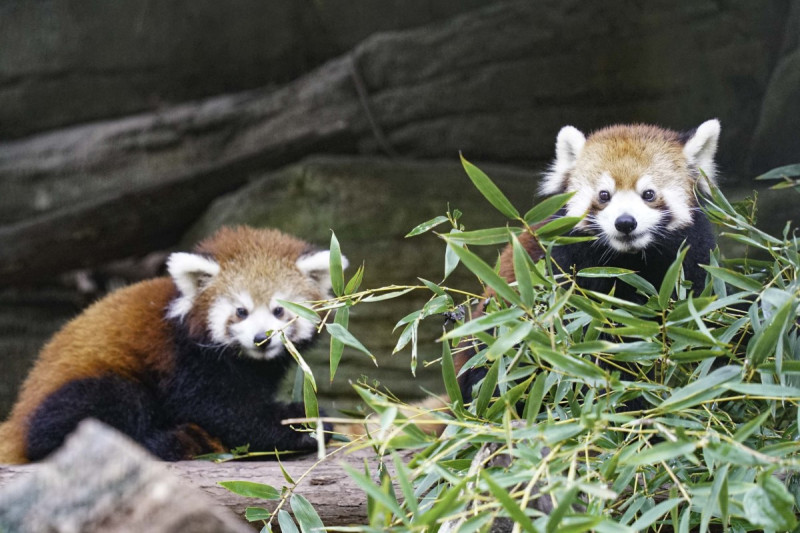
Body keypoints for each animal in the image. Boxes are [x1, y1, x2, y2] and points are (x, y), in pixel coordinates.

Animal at [0, 224, 342, 462]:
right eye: (241, 311)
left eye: (279, 310)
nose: (261, 339)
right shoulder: (184, 360)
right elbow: (221, 408)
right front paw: (301, 425)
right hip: (82, 390)